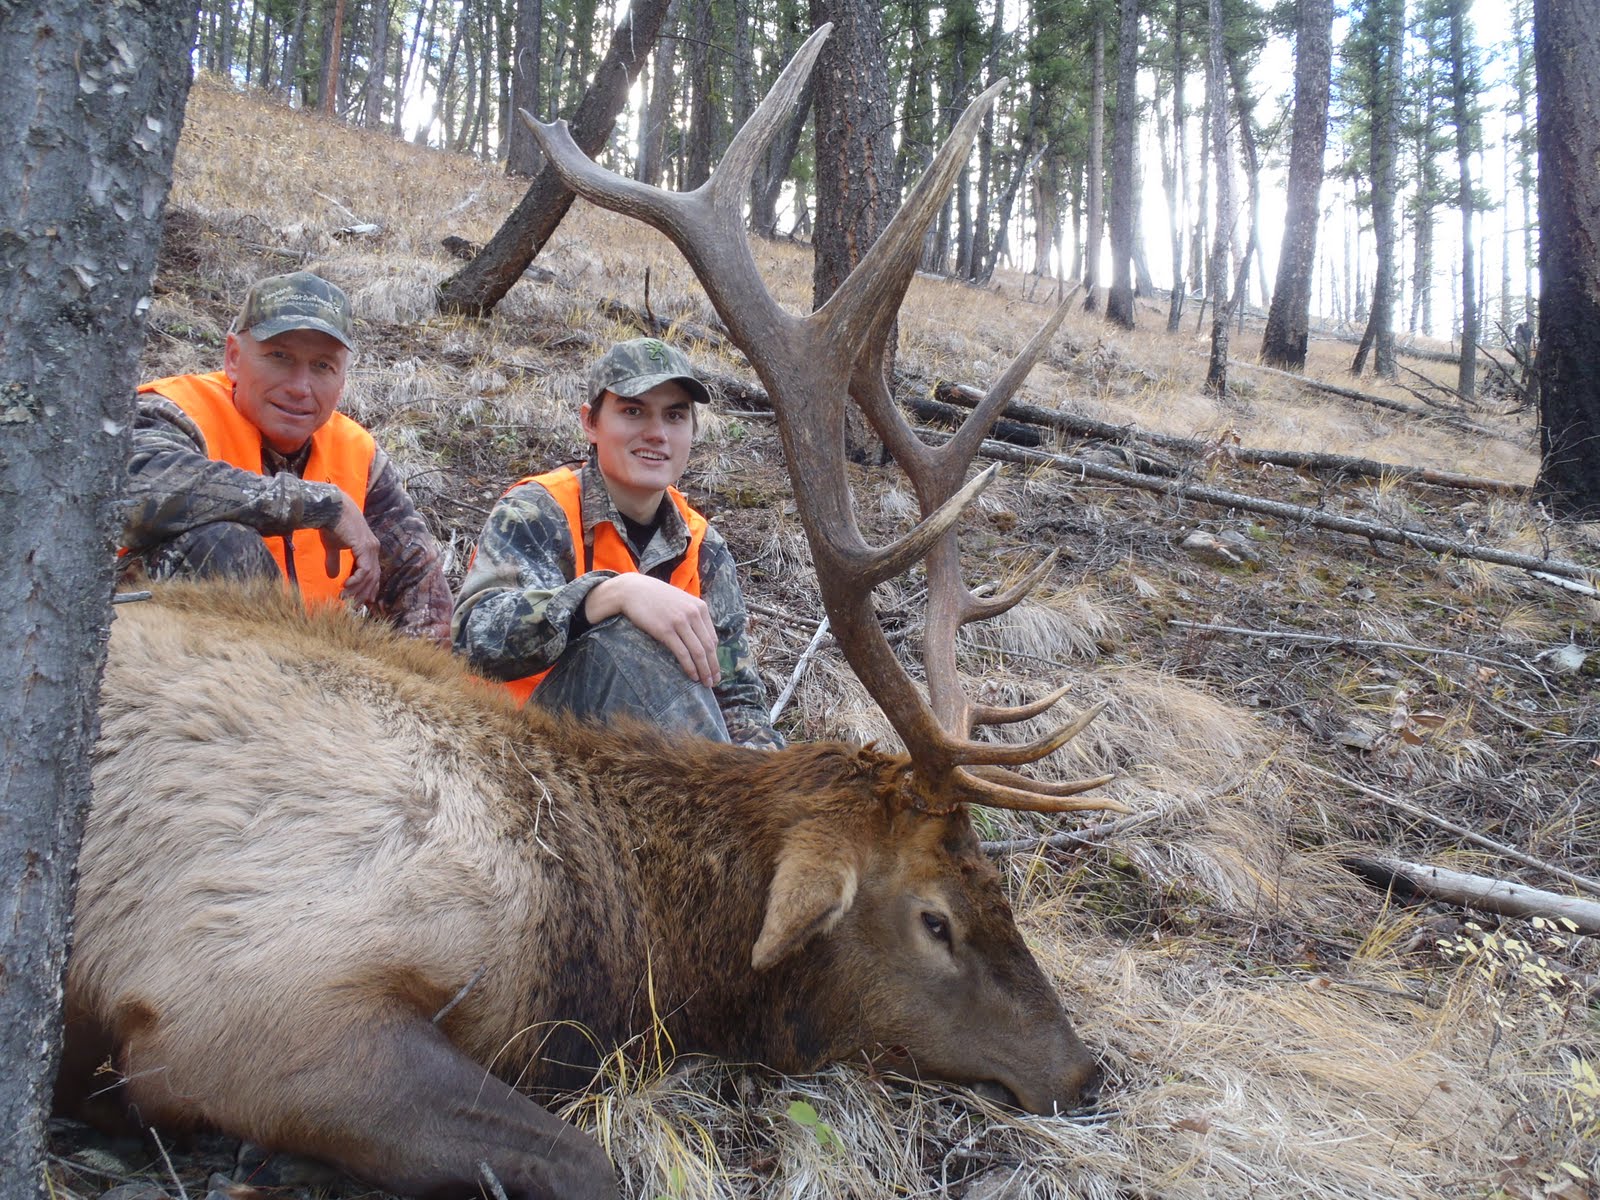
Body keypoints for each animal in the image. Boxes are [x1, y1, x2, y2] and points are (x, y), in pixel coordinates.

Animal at [60, 25, 1123, 1200]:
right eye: (935, 916)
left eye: (1000, 887)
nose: (1082, 1071)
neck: (599, 937)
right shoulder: (240, 1001)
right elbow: (592, 1163)